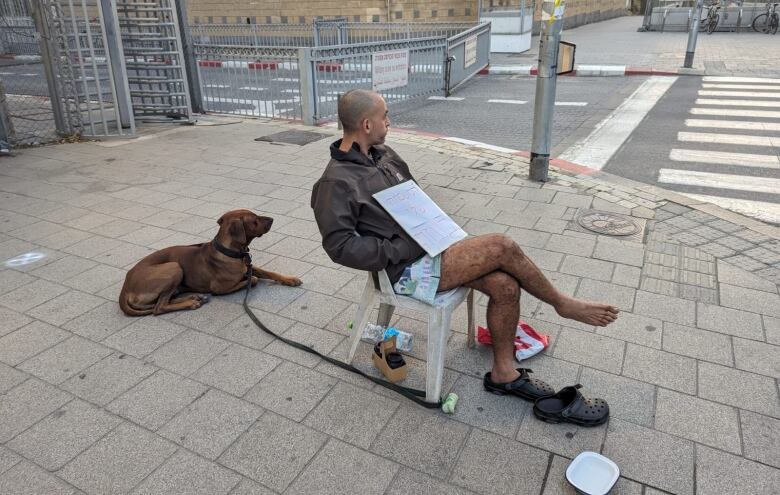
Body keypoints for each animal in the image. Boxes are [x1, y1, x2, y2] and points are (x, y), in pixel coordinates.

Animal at [119, 209, 302, 318]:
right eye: (255, 220)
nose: (272, 218)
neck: (231, 253)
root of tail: (125, 287)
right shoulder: (219, 288)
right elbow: (254, 280)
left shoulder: (248, 266)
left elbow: (269, 272)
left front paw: (290, 279)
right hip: (174, 267)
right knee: (159, 307)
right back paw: (191, 302)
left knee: (165, 300)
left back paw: (193, 296)